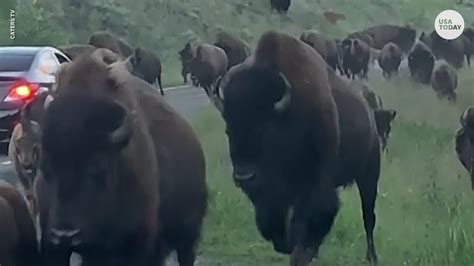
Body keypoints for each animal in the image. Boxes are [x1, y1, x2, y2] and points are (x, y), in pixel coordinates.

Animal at [37, 48, 207, 264]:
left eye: (97, 168)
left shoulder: (138, 243)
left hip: (188, 235)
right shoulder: (54, 245)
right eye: (46, 169)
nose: (65, 235)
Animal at [219, 31, 382, 266]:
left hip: (369, 175)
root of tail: (369, 112)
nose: (244, 177)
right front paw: (292, 247)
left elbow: (309, 219)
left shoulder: (315, 185)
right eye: (228, 130)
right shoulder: (272, 193)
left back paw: (371, 256)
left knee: (368, 215)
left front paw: (301, 252)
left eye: (265, 129)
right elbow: (272, 223)